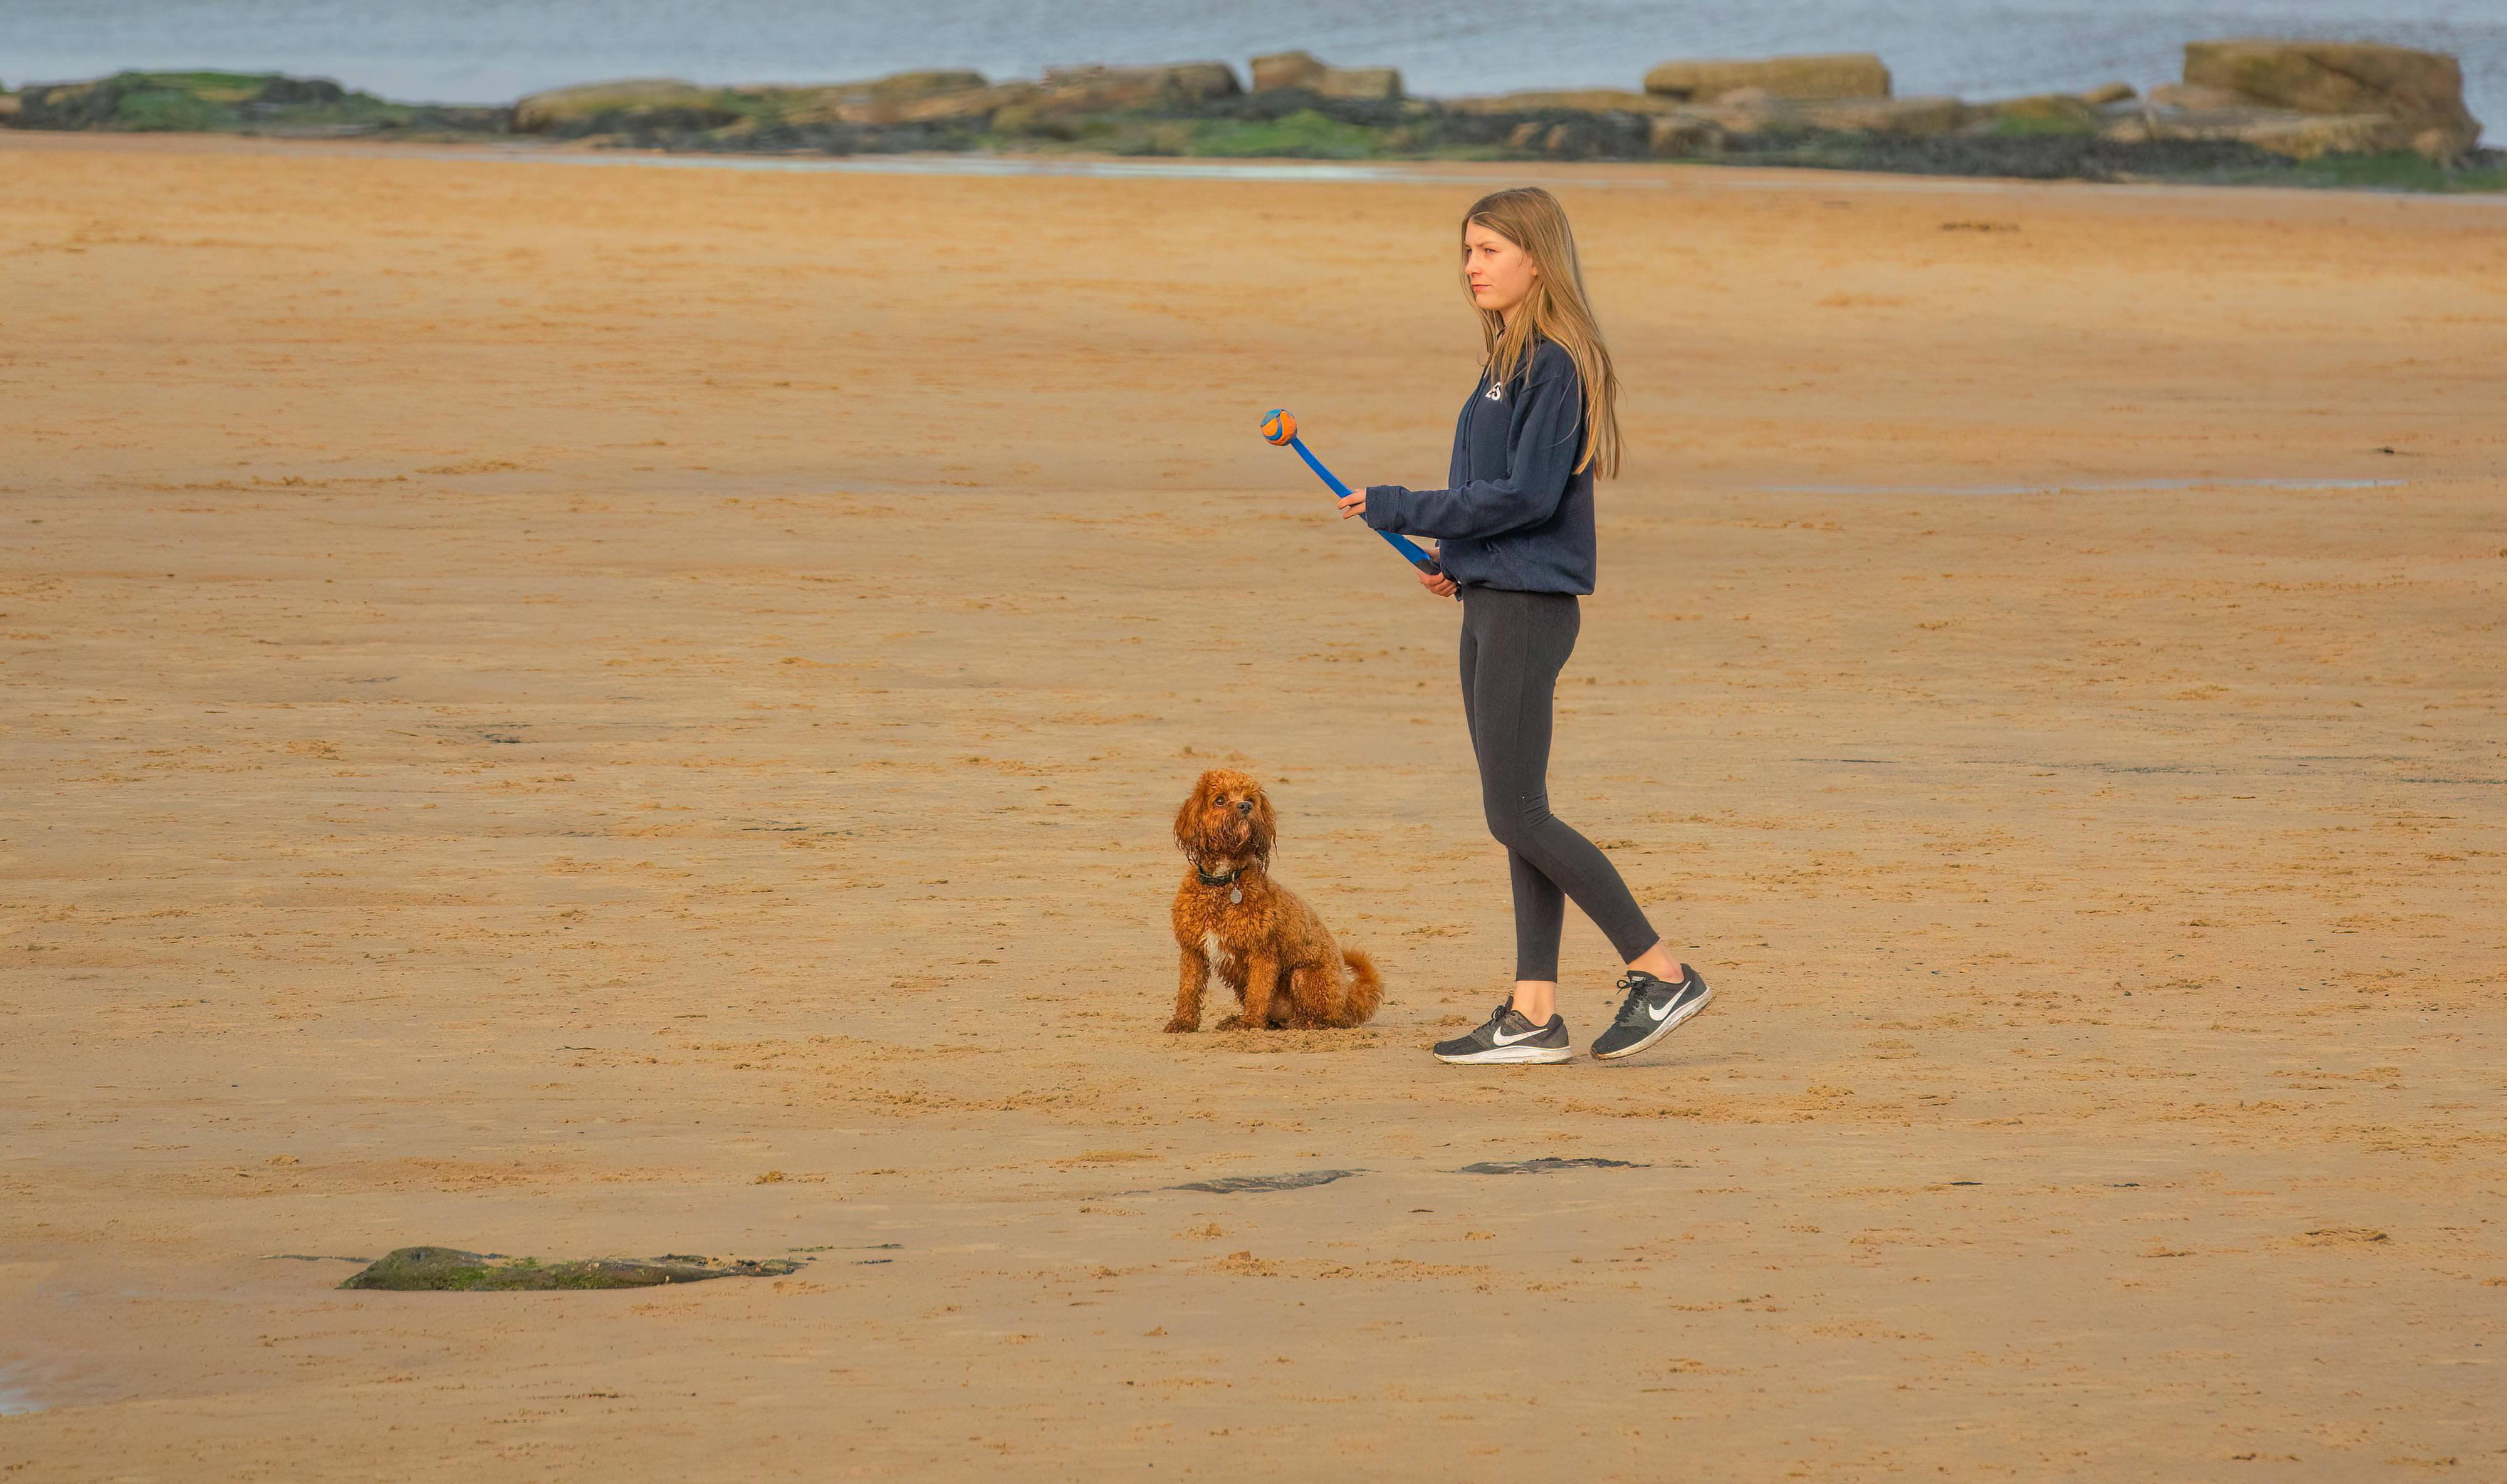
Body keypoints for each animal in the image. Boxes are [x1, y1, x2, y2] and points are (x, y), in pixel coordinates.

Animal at [1163, 767, 1384, 1033]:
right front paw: (1183, 1023)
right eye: (1220, 800)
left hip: (1305, 977)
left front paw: (1250, 1023)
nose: (1245, 806)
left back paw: (1297, 1023)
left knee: (1323, 1019)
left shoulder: (1262, 952)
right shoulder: (1193, 950)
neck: (1224, 882)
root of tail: (1347, 1004)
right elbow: (1188, 990)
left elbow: (1258, 993)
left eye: (1250, 798)